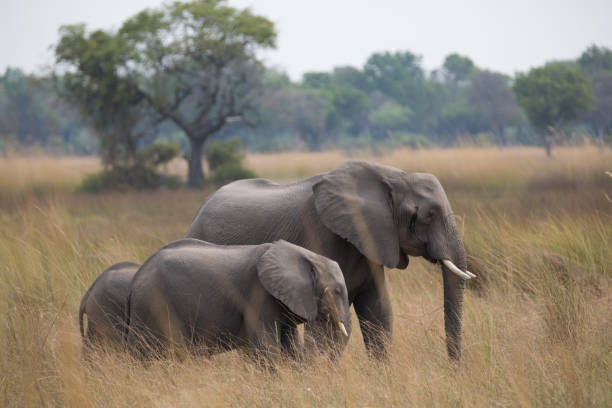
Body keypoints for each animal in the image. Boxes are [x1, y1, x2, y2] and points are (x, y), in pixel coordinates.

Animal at [124, 237, 352, 362]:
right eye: (337, 291)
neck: (308, 256)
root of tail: (134, 282)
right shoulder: (258, 295)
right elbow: (267, 348)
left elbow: (292, 346)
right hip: (152, 306)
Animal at [184, 159, 476, 360]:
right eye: (428, 215)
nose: (455, 368)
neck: (392, 176)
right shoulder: (322, 236)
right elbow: (330, 322)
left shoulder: (369, 242)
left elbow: (378, 309)